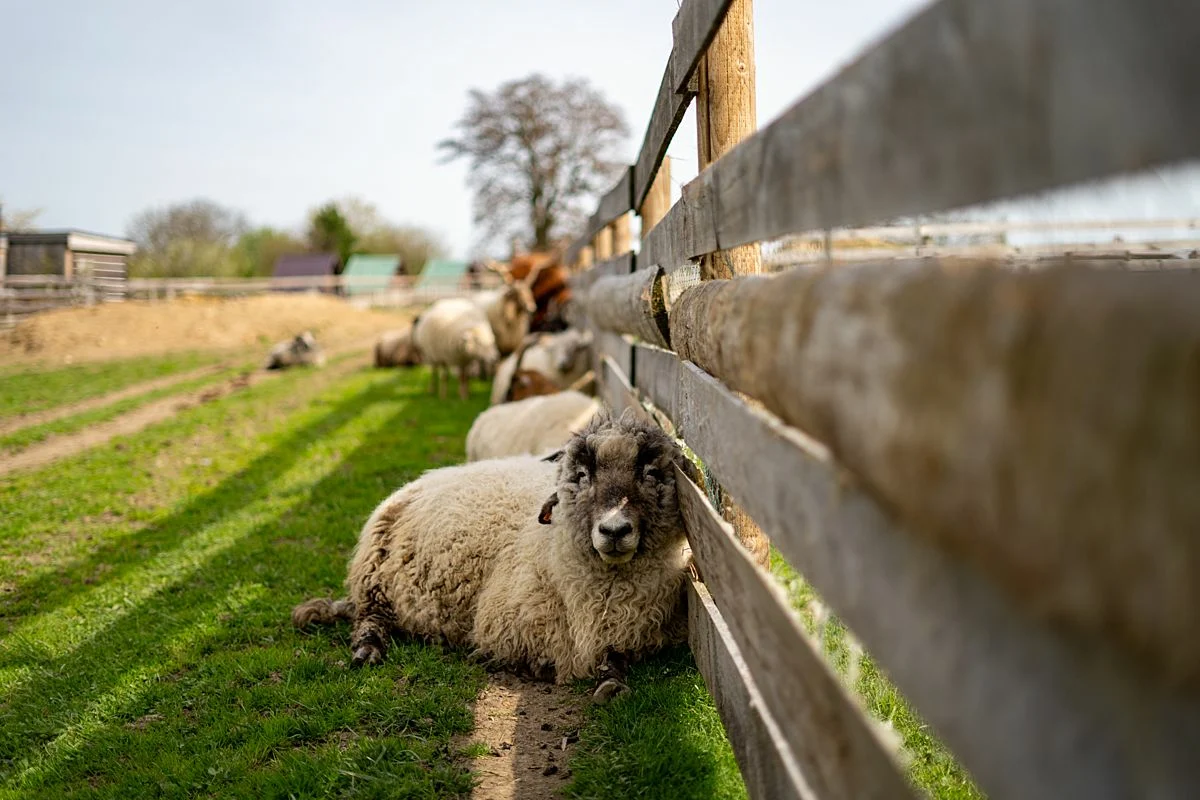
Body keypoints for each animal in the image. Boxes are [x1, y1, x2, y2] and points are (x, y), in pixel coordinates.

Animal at [293, 412, 693, 694]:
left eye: (651, 472)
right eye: (582, 475)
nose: (613, 530)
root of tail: (414, 484)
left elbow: (615, 658)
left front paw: (611, 681)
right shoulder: (508, 624)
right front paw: (547, 667)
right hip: (376, 581)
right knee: (370, 620)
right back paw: (368, 650)